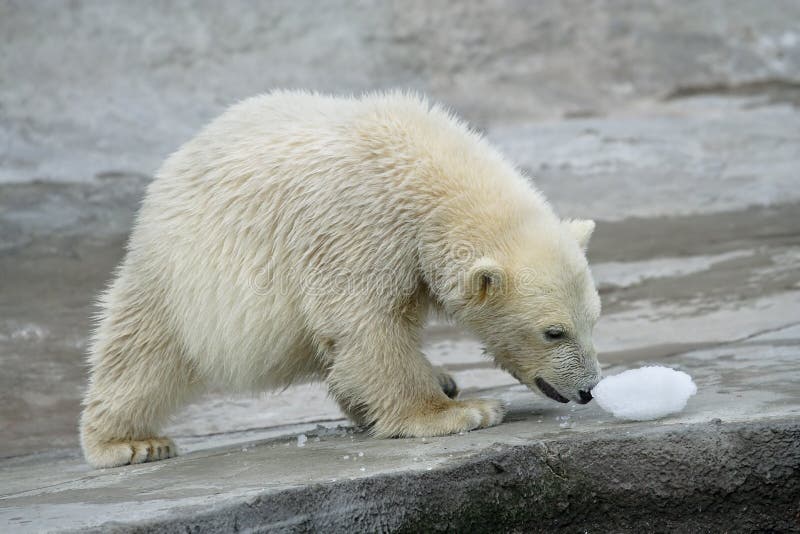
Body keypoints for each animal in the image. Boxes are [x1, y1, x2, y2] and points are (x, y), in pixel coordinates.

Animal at [79, 92, 600, 468]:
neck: (424, 174)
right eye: (554, 332)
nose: (588, 389)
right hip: (180, 268)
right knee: (143, 351)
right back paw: (130, 443)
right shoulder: (361, 225)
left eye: (593, 321)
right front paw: (459, 413)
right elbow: (367, 323)